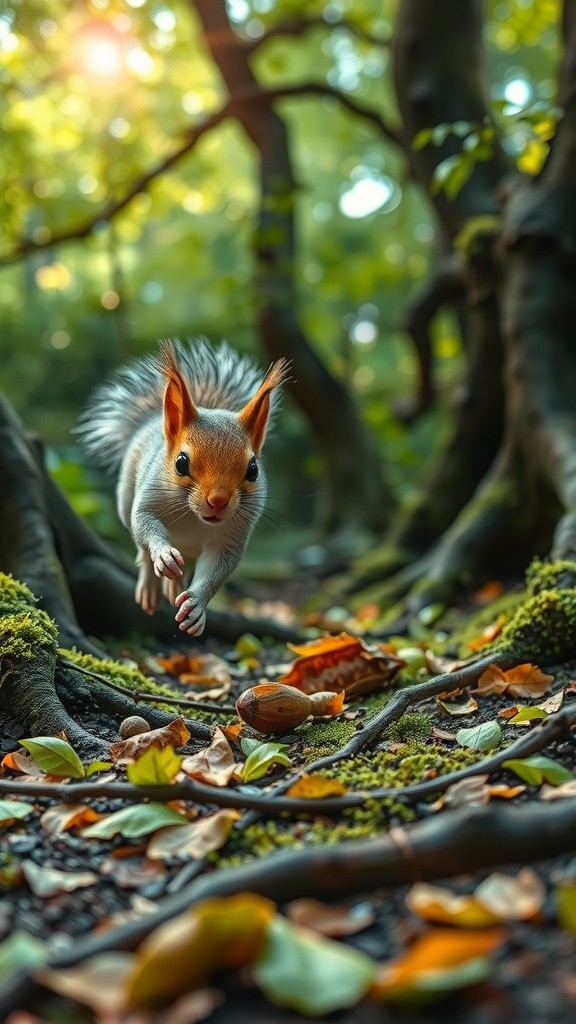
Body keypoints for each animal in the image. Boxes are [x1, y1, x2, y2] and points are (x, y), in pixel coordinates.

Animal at [77, 338, 290, 635]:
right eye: (181, 463)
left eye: (253, 470)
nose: (218, 501)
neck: (194, 518)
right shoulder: (148, 501)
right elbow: (145, 524)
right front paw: (163, 554)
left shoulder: (231, 538)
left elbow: (217, 570)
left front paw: (196, 607)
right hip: (126, 500)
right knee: (141, 548)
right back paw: (152, 585)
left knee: (187, 564)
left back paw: (175, 585)